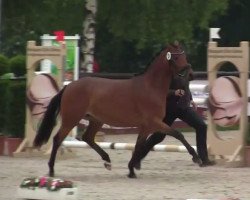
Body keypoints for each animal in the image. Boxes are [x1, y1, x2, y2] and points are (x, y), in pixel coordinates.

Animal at [32, 42, 199, 178]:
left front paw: (131, 170)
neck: (151, 87)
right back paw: (51, 170)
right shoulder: (154, 123)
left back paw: (107, 161)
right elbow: (178, 134)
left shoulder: (146, 127)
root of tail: (69, 86)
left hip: (96, 120)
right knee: (57, 139)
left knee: (87, 138)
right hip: (71, 119)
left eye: (184, 55)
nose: (191, 74)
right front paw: (196, 157)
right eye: (176, 58)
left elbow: (139, 146)